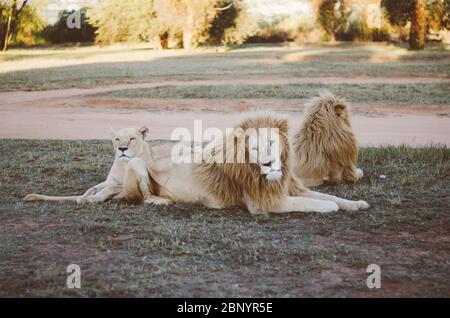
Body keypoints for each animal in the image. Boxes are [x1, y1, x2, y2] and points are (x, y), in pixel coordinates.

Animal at [24, 113, 370, 215]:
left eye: (272, 143)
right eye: (254, 147)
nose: (269, 162)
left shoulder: (291, 188)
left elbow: (328, 195)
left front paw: (357, 204)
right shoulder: (264, 203)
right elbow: (317, 204)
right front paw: (333, 209)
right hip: (135, 168)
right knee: (130, 197)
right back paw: (157, 200)